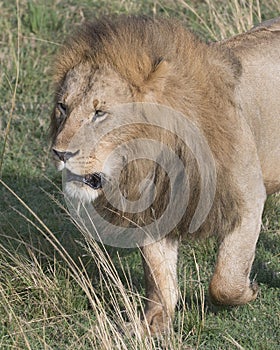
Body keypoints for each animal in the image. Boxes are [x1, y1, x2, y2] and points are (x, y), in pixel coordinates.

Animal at [50, 16, 280, 334]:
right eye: (63, 107)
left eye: (99, 113)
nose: (60, 153)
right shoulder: (154, 207)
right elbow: (159, 274)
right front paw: (152, 325)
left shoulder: (247, 200)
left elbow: (225, 280)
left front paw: (249, 291)